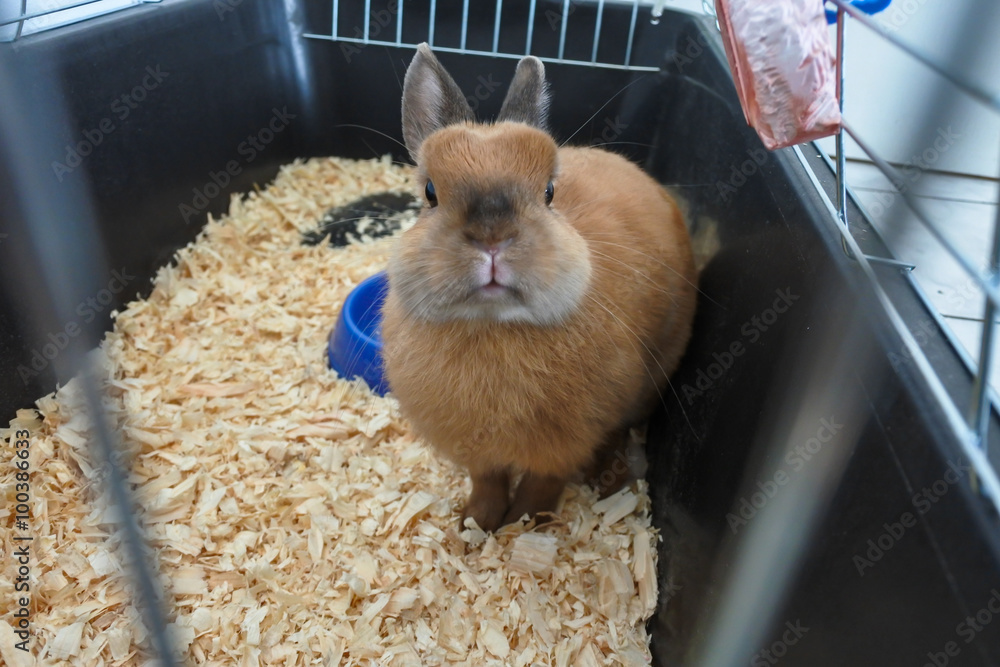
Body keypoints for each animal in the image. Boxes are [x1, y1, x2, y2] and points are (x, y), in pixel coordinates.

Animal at [380, 43, 697, 532]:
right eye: (430, 192)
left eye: (549, 191)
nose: (493, 238)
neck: (492, 326)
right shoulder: (479, 454)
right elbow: (487, 482)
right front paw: (474, 525)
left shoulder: (564, 445)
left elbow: (541, 487)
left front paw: (524, 526)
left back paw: (609, 482)